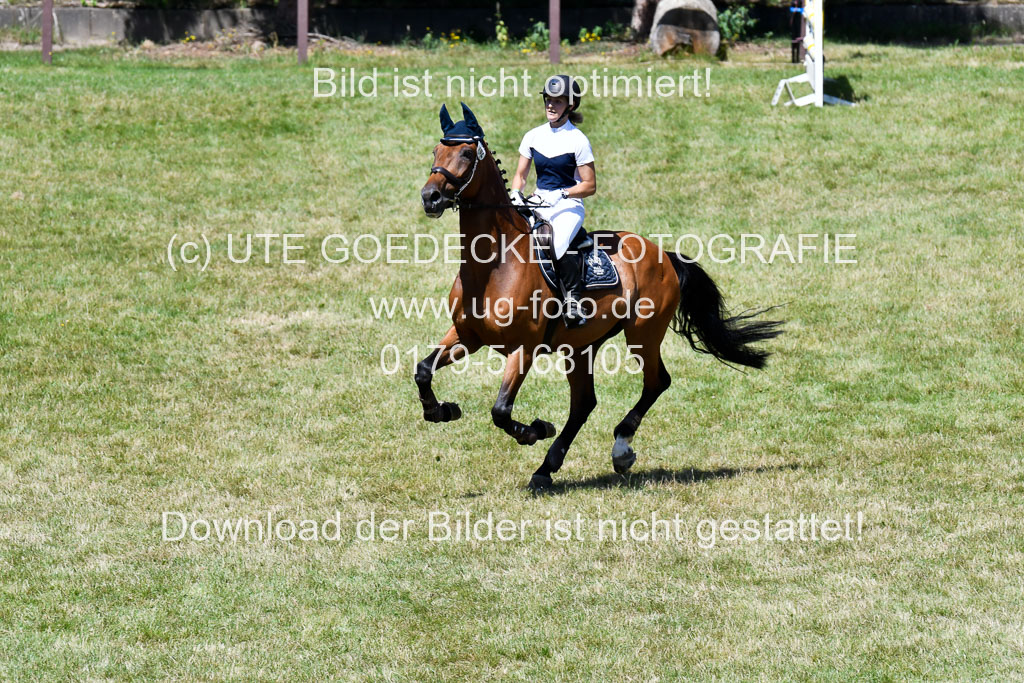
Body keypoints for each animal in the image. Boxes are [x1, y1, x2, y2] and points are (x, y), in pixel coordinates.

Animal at [417, 103, 782, 490]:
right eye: (436, 151)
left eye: (467, 154)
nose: (430, 197)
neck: (495, 263)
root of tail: (663, 254)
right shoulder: (468, 336)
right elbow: (423, 370)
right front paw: (441, 410)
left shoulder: (524, 348)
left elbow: (501, 411)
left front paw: (535, 430)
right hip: (581, 346)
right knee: (584, 403)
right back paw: (546, 469)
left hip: (643, 333)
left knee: (656, 382)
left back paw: (620, 449)